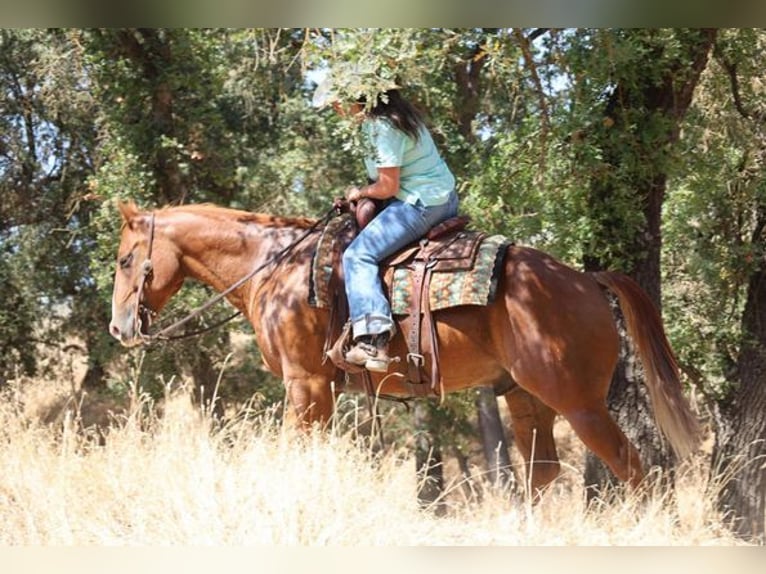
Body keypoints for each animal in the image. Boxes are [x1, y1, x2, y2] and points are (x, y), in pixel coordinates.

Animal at [108, 200, 700, 494]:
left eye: (124, 259)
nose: (118, 328)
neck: (276, 268)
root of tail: (586, 280)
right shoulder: (318, 392)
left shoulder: (307, 385)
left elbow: (299, 453)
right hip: (526, 398)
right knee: (543, 473)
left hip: (579, 403)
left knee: (635, 470)